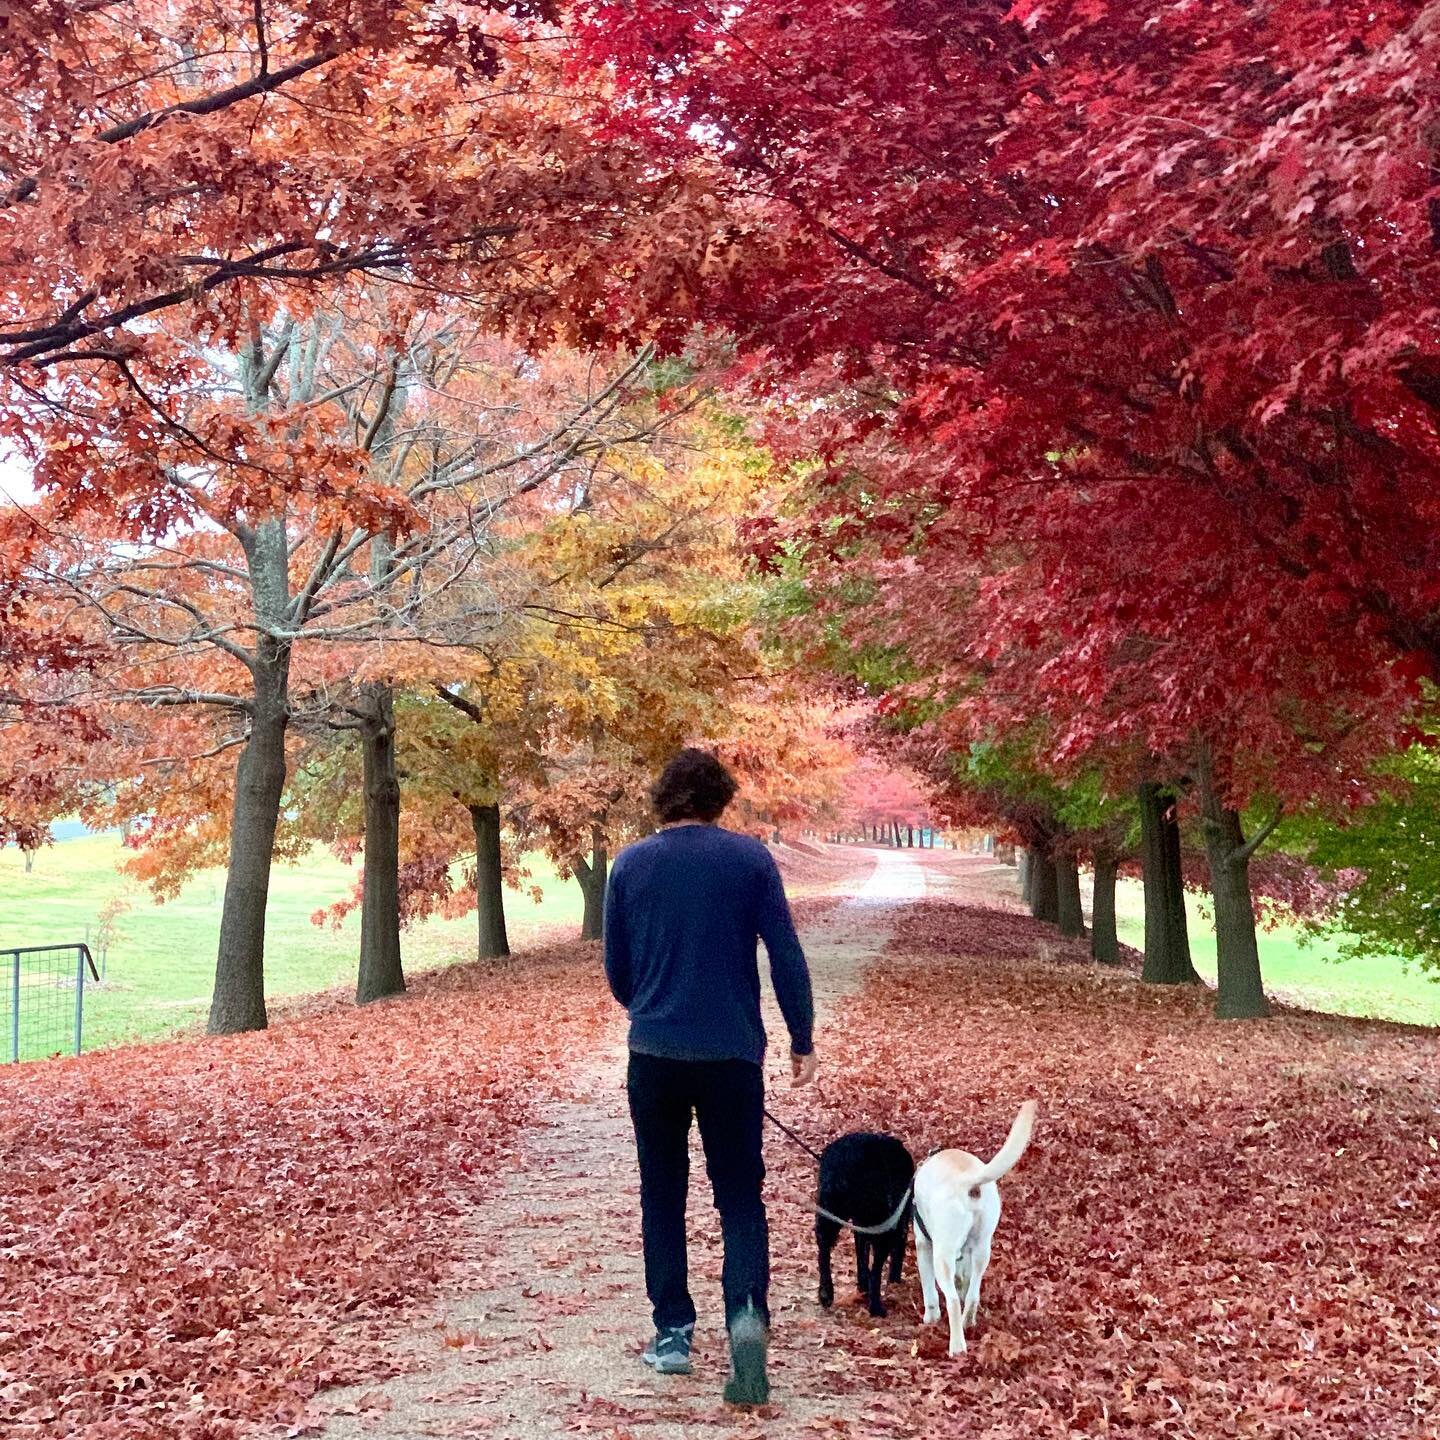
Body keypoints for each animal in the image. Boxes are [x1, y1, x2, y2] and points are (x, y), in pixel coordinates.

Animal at [817, 1128, 915, 1319]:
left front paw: (864, 1288)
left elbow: (862, 1258)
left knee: (823, 1246)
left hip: (830, 1207)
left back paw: (826, 1293)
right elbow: (876, 1267)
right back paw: (876, 1305)